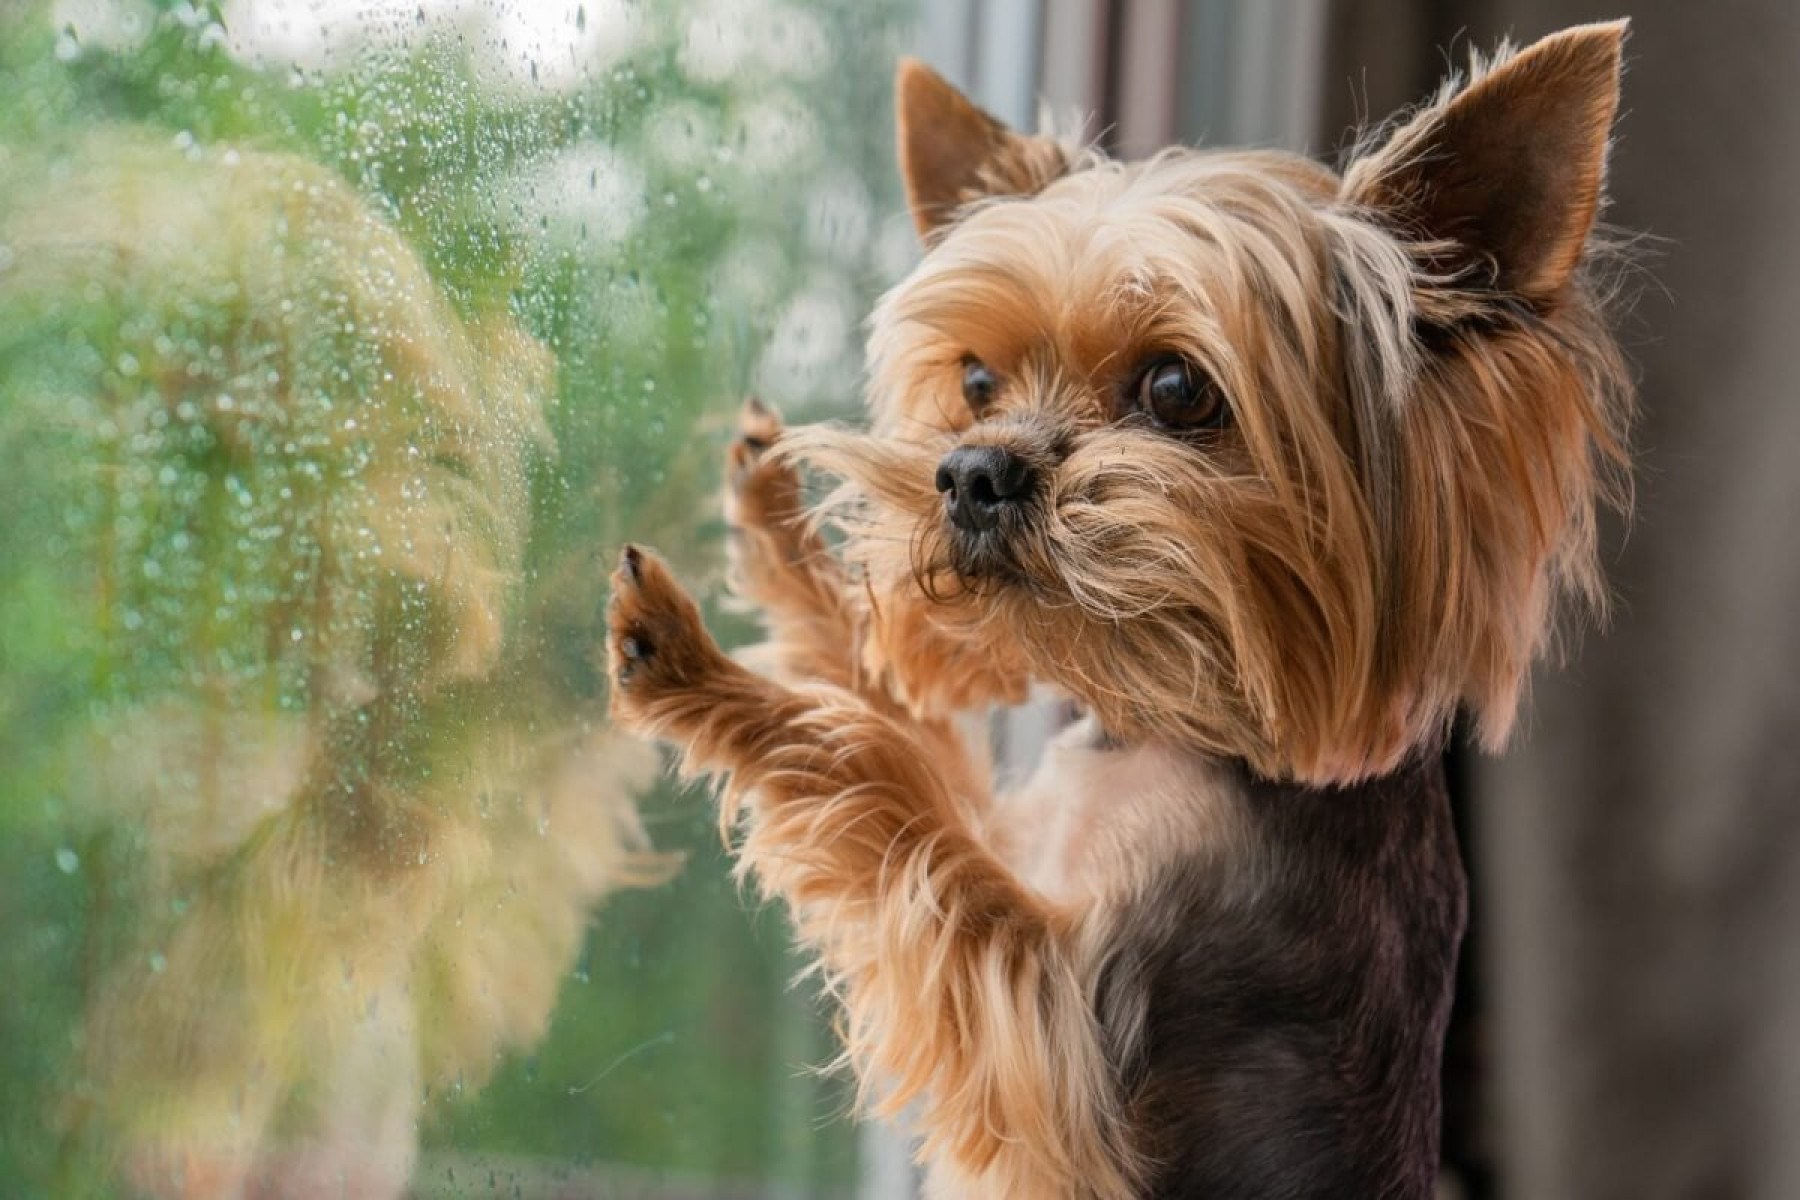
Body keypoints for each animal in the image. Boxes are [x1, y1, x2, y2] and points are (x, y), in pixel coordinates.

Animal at [604, 21, 1634, 1200]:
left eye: (1177, 389)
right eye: (975, 382)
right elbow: (911, 738)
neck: (1168, 734)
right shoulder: (1018, 842)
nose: (969, 473)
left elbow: (882, 784)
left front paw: (701, 671)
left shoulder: (1064, 1032)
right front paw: (777, 533)